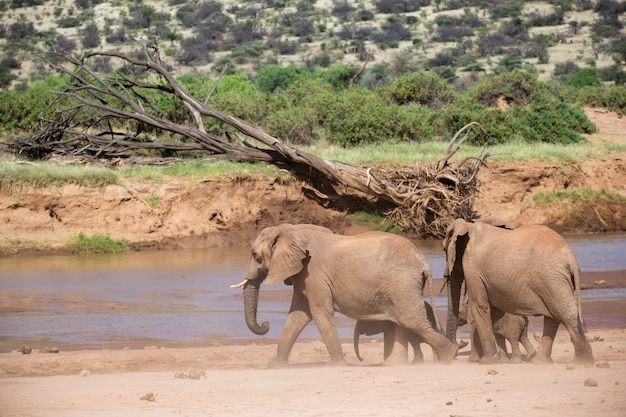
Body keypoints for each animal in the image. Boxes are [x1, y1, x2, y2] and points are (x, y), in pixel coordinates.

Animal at [232, 223, 456, 366]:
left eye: (254, 255)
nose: (265, 324)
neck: (291, 229)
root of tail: (423, 262)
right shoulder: (304, 275)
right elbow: (298, 315)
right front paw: (275, 365)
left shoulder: (314, 273)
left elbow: (320, 313)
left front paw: (336, 365)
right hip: (401, 287)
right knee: (403, 321)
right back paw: (397, 365)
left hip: (402, 283)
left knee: (411, 321)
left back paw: (448, 356)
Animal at [442, 218, 592, 364]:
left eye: (444, 250)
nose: (452, 356)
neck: (469, 226)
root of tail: (571, 258)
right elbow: (494, 310)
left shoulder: (473, 267)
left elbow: (479, 306)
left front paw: (487, 361)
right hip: (555, 279)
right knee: (554, 316)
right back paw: (542, 362)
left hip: (551, 277)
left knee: (564, 313)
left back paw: (580, 362)